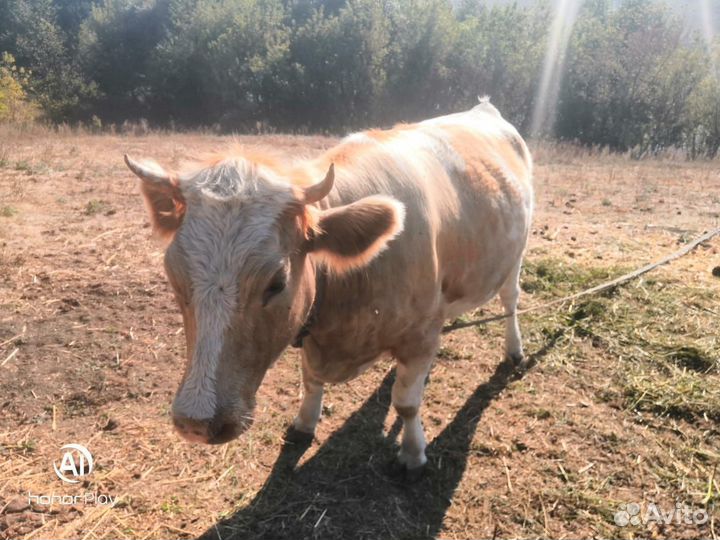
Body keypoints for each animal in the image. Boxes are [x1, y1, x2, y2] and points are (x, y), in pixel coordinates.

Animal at [125, 99, 533, 476]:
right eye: (173, 275)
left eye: (277, 282)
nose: (197, 421)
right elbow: (310, 380)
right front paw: (305, 422)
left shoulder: (419, 336)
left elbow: (407, 404)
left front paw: (413, 452)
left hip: (516, 253)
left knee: (510, 300)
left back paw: (514, 350)